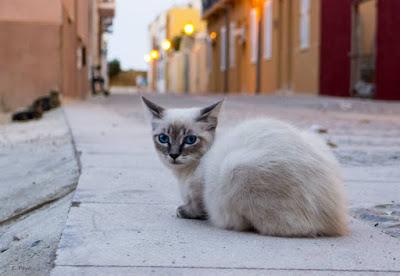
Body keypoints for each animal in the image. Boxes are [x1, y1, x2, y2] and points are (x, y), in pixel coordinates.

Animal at [142, 97, 348, 237]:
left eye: (190, 140)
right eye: (163, 138)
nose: (173, 155)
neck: (184, 174)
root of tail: (337, 221)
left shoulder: (200, 193)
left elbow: (196, 208)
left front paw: (183, 211)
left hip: (234, 170)